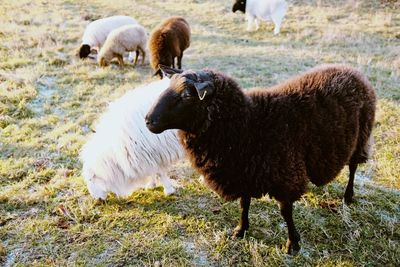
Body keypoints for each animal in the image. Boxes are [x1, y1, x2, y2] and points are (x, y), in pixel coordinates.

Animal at [145, 64, 376, 255]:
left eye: (186, 95)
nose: (148, 120)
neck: (249, 124)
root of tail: (353, 71)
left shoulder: (285, 175)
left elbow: (285, 212)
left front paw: (293, 244)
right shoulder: (243, 171)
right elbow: (244, 204)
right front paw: (240, 230)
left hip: (361, 137)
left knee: (353, 167)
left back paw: (348, 196)